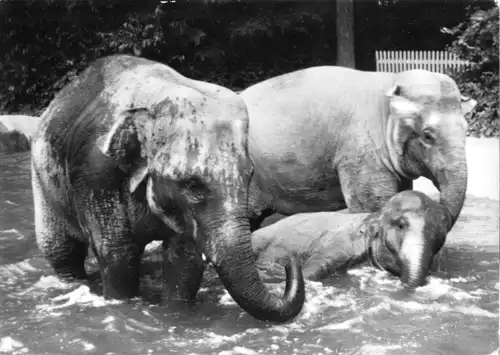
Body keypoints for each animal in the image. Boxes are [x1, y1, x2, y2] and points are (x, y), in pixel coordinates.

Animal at [32, 54, 304, 324]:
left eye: (249, 177)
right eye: (193, 185)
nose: (288, 260)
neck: (157, 95)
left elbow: (183, 259)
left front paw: (176, 312)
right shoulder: (96, 173)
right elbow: (118, 254)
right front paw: (123, 306)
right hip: (41, 179)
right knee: (61, 250)